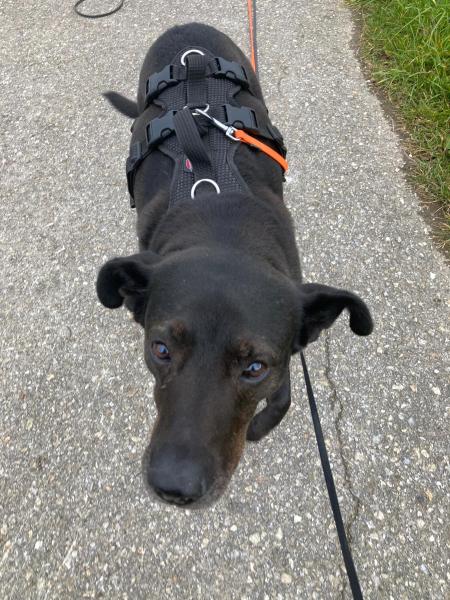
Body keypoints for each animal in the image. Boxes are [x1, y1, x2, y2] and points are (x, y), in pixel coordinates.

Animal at [97, 23, 373, 508]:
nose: (175, 487)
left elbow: (283, 398)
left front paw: (259, 426)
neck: (221, 228)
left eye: (254, 368)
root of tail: (187, 28)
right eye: (160, 349)